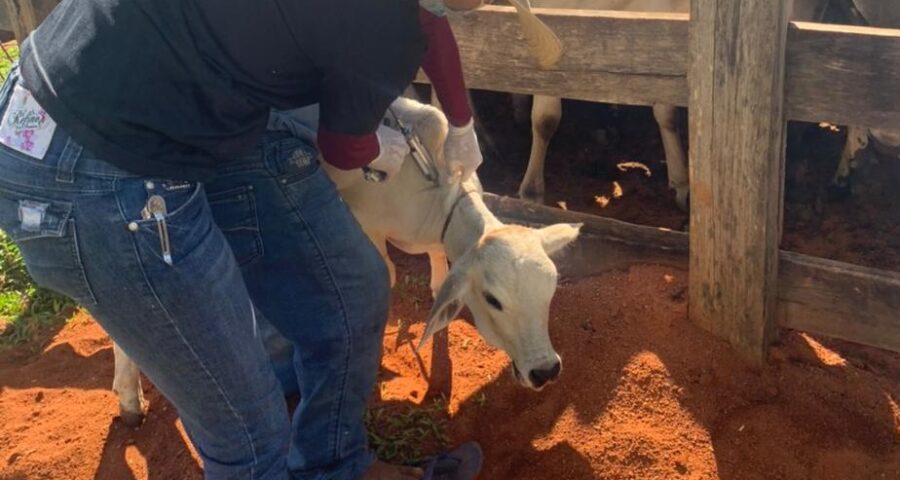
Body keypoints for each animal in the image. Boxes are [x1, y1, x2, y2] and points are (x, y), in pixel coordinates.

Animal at [112, 96, 580, 424]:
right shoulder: (365, 224)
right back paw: (130, 395)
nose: (546, 370)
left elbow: (437, 282)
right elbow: (385, 276)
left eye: (550, 293)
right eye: (494, 300)